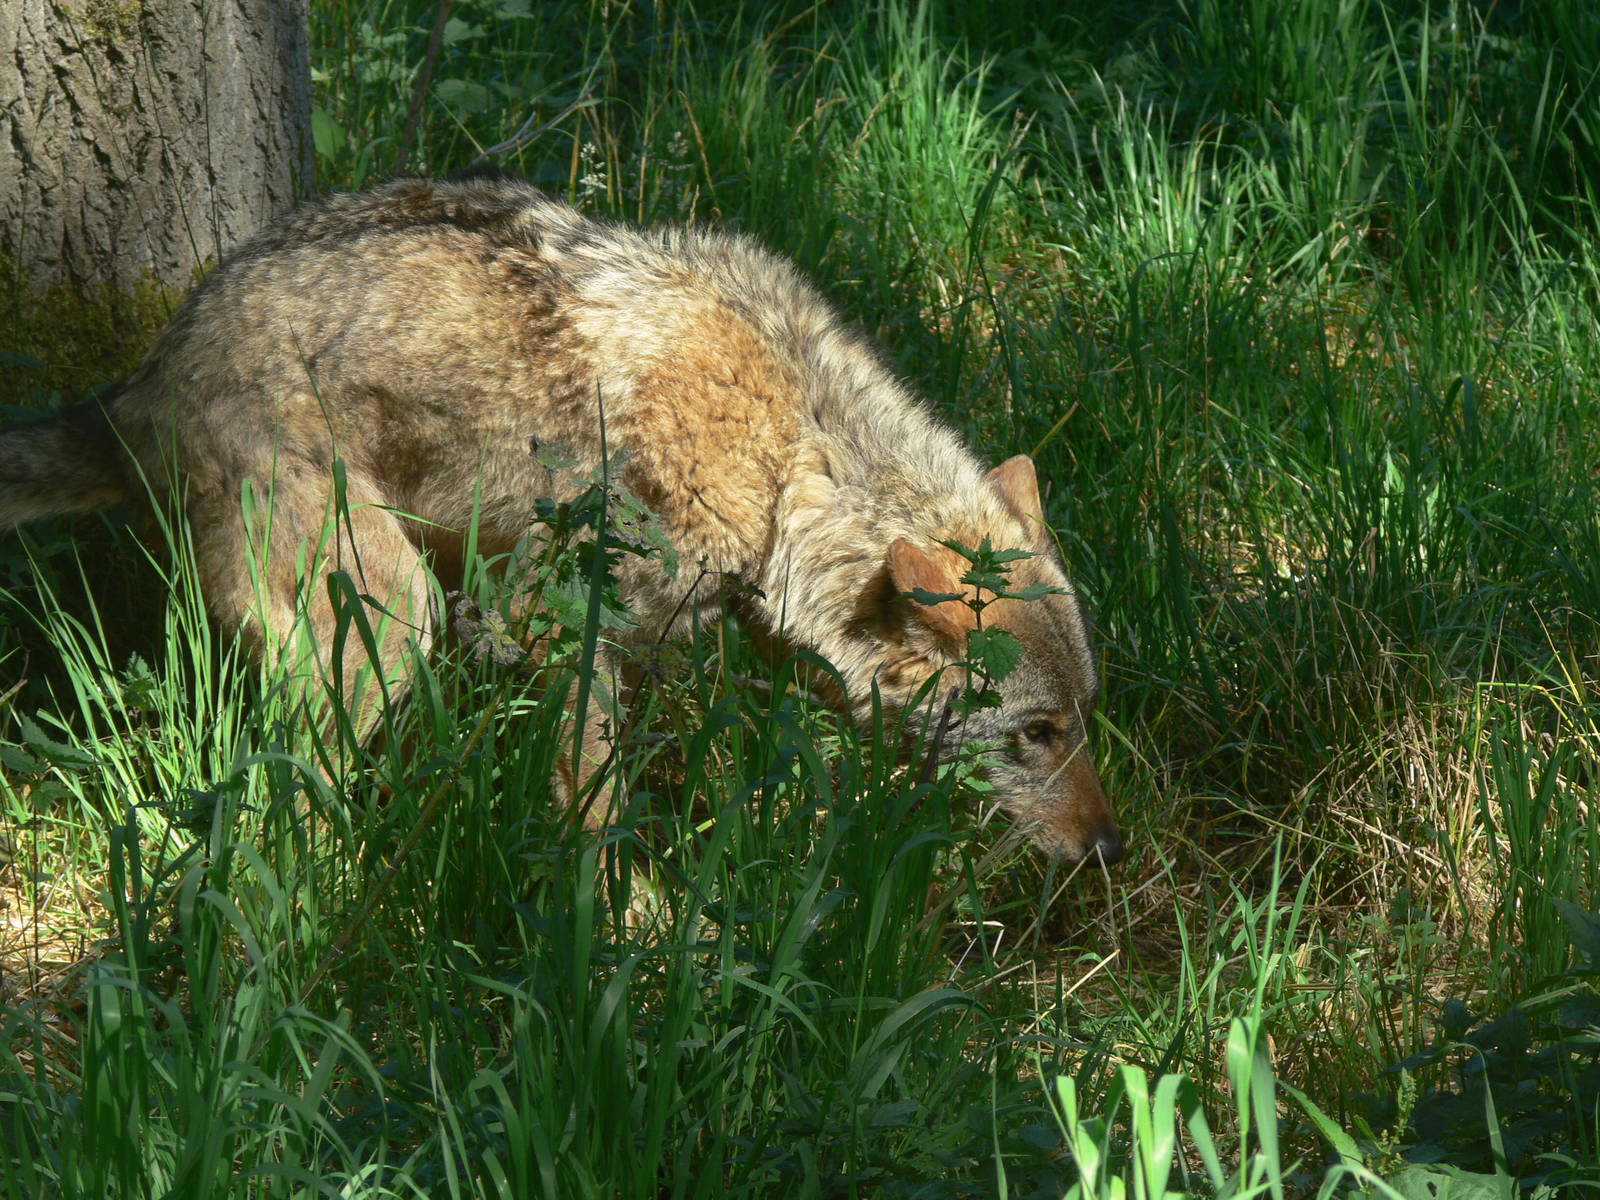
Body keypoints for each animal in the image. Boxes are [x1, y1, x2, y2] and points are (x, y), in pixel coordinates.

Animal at [0, 173, 1122, 865]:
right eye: (1035, 733)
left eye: (1083, 721)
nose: (1109, 849)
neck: (790, 455)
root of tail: (143, 378)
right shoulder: (558, 619)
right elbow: (597, 812)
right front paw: (636, 944)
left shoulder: (676, 640)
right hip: (391, 624)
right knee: (281, 792)